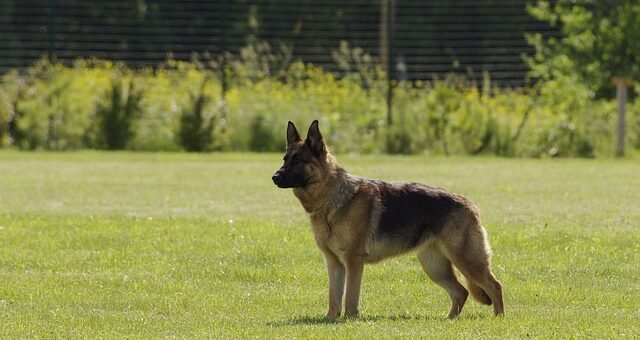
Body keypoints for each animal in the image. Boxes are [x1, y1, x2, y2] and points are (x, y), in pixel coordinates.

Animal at [272, 121, 502, 320]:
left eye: (298, 160)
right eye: (285, 159)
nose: (274, 177)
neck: (333, 198)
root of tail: (470, 204)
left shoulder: (353, 261)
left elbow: (350, 297)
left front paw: (349, 319)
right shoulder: (333, 263)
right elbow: (334, 298)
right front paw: (330, 320)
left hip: (466, 261)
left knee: (494, 286)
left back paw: (498, 318)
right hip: (435, 267)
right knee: (461, 292)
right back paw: (449, 320)